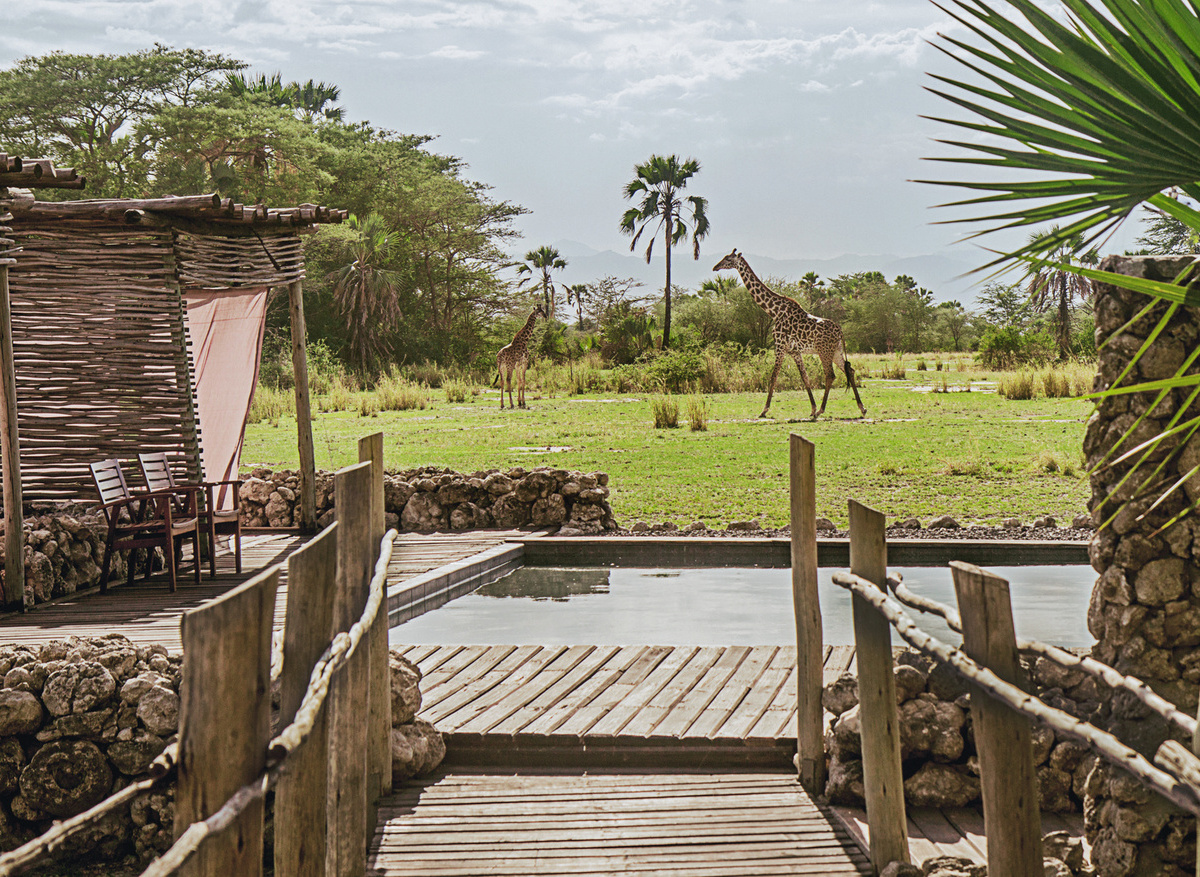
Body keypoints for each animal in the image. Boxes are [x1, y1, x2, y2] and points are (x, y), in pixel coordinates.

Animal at [713, 248, 866, 420]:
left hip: (824, 351)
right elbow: (805, 377)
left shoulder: (780, 347)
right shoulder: (794, 351)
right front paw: (812, 408)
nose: (715, 267)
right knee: (849, 370)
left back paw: (821, 411)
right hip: (836, 351)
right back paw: (861, 408)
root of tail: (840, 331)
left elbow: (773, 376)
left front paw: (764, 410)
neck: (774, 311)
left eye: (728, 259)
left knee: (830, 375)